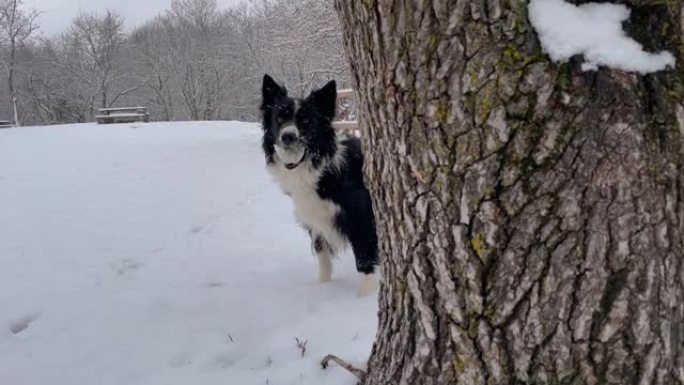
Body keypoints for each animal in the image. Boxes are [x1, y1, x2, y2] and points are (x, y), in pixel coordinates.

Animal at [260, 75, 380, 296]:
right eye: (279, 118)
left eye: (306, 120)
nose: (287, 136)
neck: (318, 167)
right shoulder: (315, 219)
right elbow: (322, 256)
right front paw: (322, 287)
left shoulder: (361, 220)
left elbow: (364, 261)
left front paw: (365, 296)